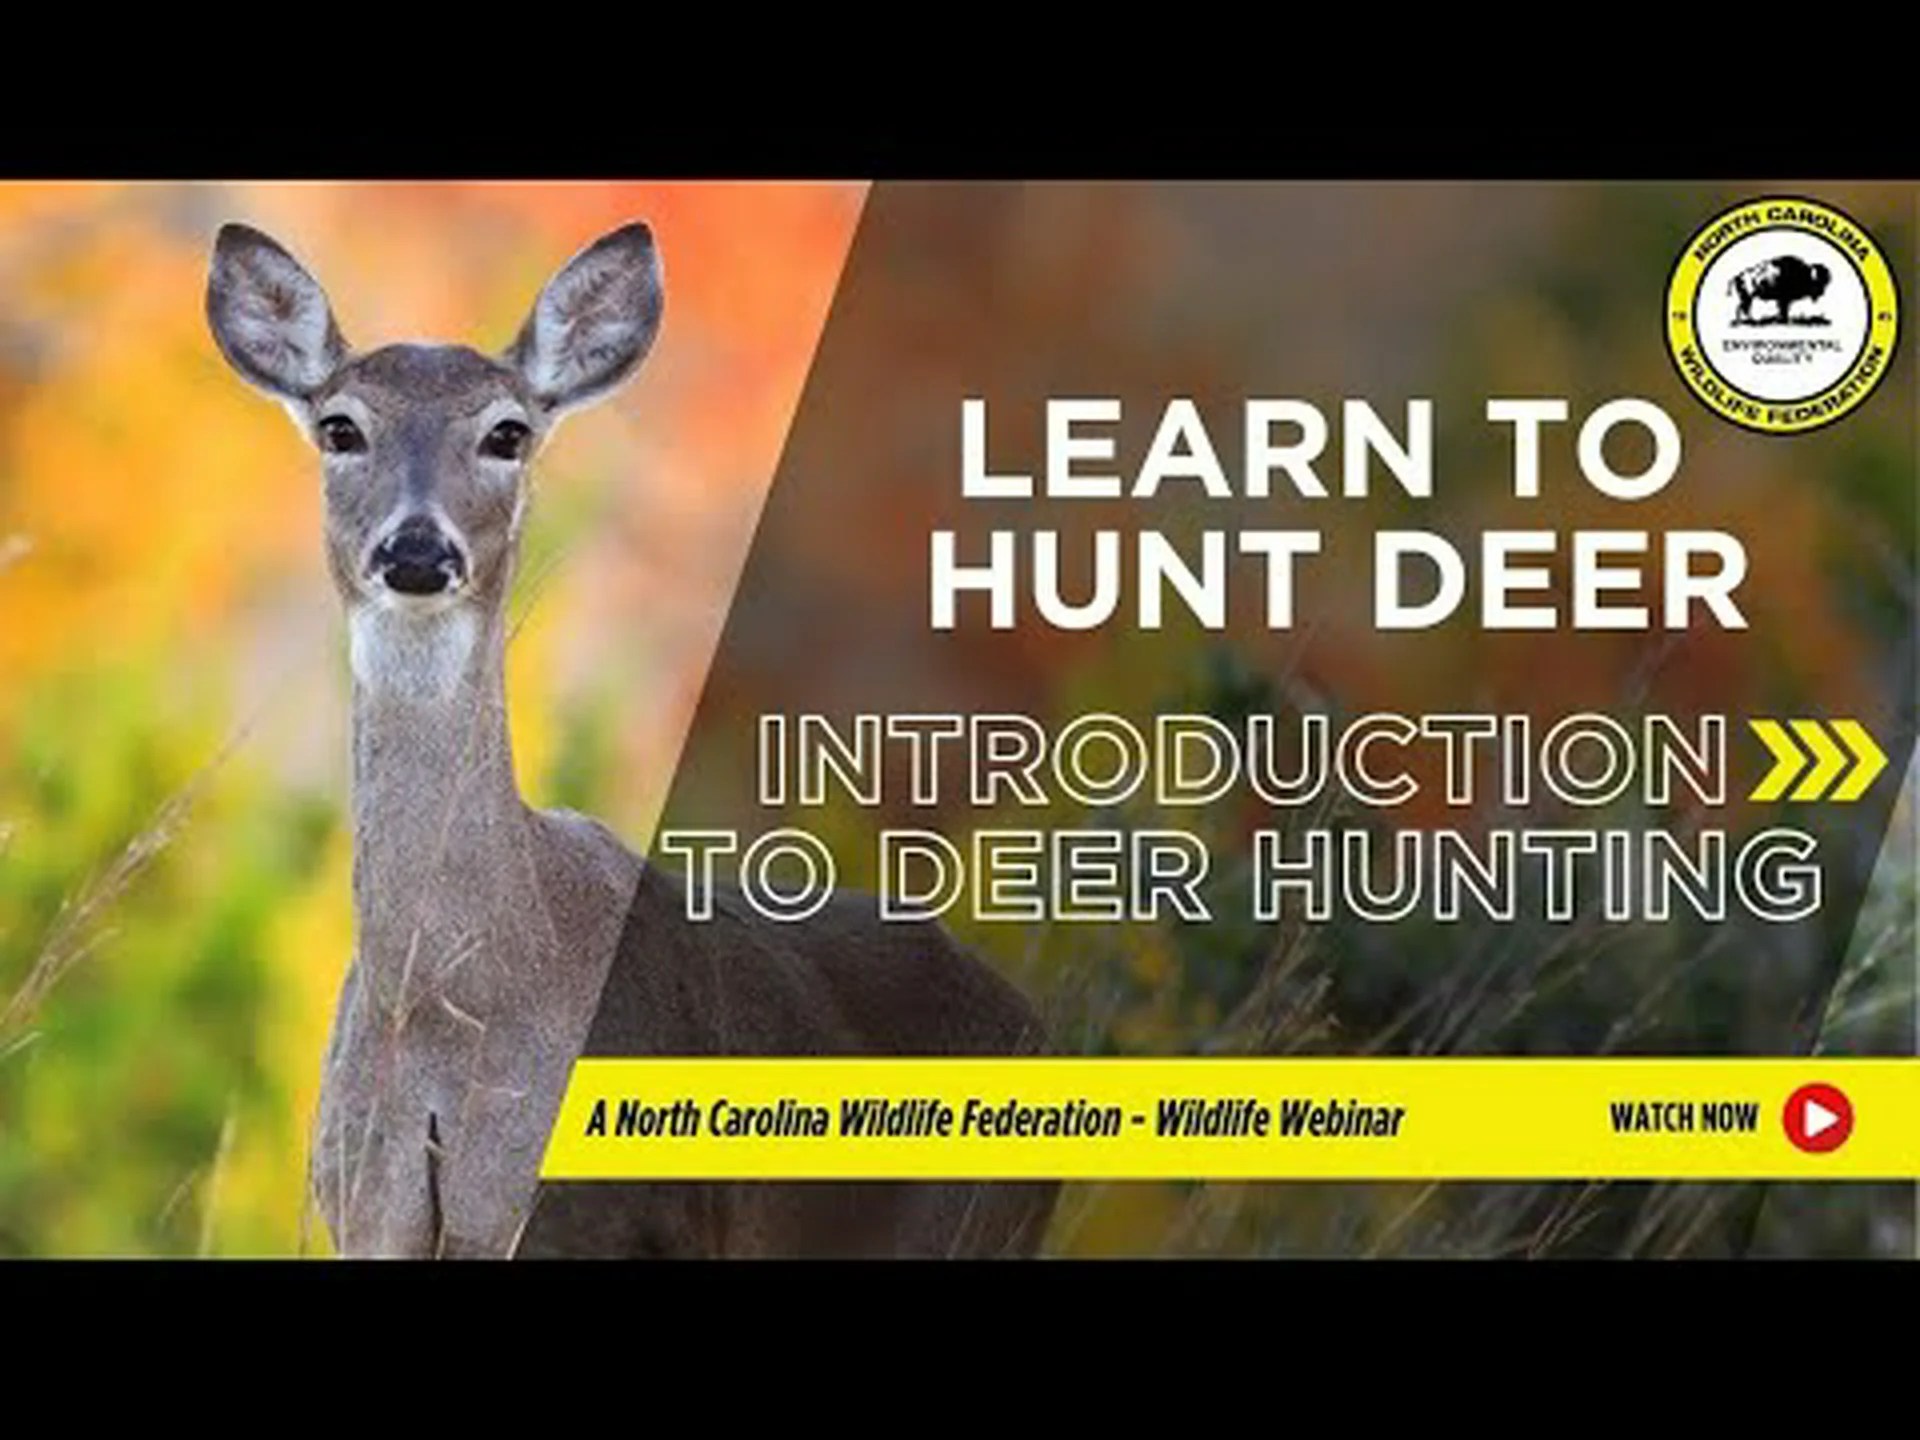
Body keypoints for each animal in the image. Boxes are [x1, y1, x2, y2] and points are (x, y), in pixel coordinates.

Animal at [206, 219, 1057, 1258]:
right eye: (340, 426)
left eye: (507, 432)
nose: (416, 550)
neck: (460, 1013)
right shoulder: (365, 1213)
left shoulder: (631, 1217)